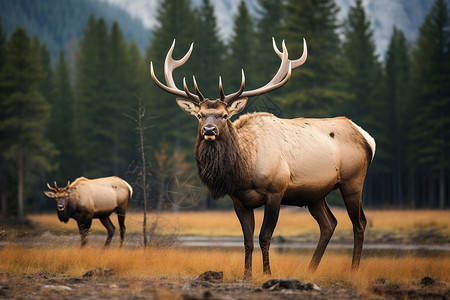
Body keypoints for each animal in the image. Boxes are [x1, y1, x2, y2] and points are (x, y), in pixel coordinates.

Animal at [149, 38, 374, 278]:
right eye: (200, 115)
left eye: (224, 115)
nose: (209, 130)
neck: (244, 171)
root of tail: (366, 137)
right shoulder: (238, 200)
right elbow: (247, 240)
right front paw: (247, 274)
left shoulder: (276, 191)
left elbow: (265, 236)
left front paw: (267, 272)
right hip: (315, 194)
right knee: (329, 224)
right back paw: (311, 268)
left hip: (353, 181)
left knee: (359, 222)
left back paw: (354, 268)